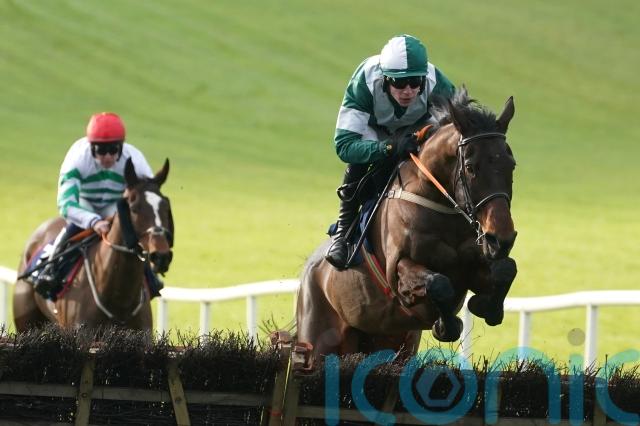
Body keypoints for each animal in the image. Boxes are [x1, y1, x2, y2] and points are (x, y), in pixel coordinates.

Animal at [296, 89, 518, 359]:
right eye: (470, 167)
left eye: (511, 165)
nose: (501, 239)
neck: (442, 211)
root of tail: (309, 268)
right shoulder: (399, 271)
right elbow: (438, 283)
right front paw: (447, 326)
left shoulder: (473, 264)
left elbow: (506, 269)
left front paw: (485, 306)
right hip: (318, 339)